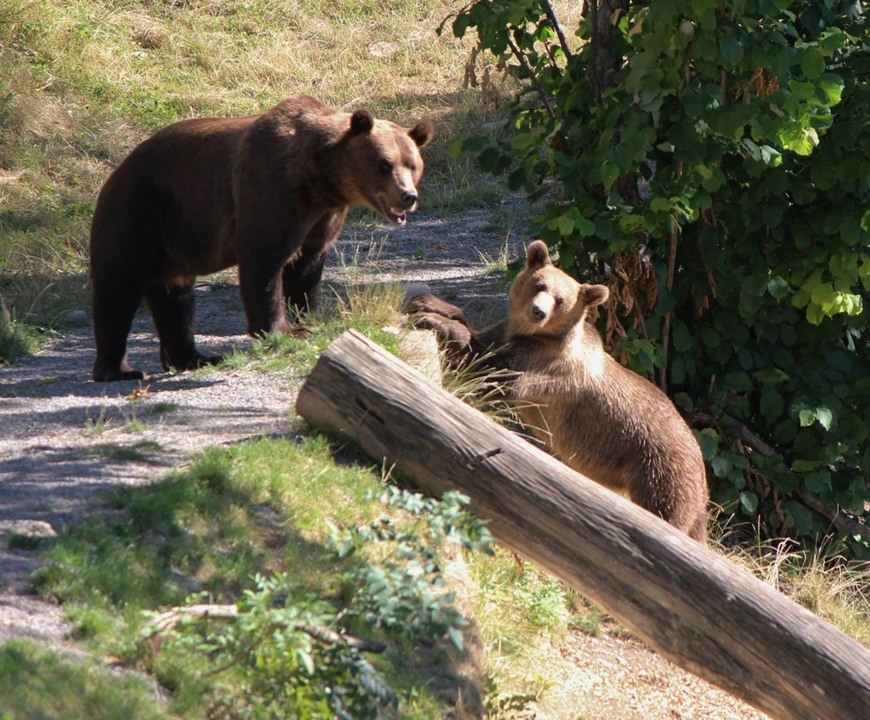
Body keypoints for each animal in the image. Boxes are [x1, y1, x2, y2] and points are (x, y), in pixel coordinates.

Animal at [90, 98, 434, 386]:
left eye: (413, 165)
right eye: (384, 164)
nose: (408, 196)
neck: (317, 178)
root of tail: (118, 168)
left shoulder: (323, 216)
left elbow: (308, 266)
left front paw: (311, 316)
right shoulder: (271, 189)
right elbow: (265, 259)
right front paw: (284, 329)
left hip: (173, 236)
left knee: (175, 297)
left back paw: (195, 358)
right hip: (139, 212)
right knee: (118, 287)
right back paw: (119, 370)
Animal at [408, 242, 708, 540]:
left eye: (561, 300)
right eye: (540, 285)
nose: (538, 312)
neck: (535, 336)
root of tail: (702, 469)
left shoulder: (541, 367)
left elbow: (486, 370)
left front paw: (434, 320)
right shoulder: (507, 335)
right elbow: (481, 339)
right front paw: (428, 304)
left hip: (659, 472)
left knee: (665, 512)